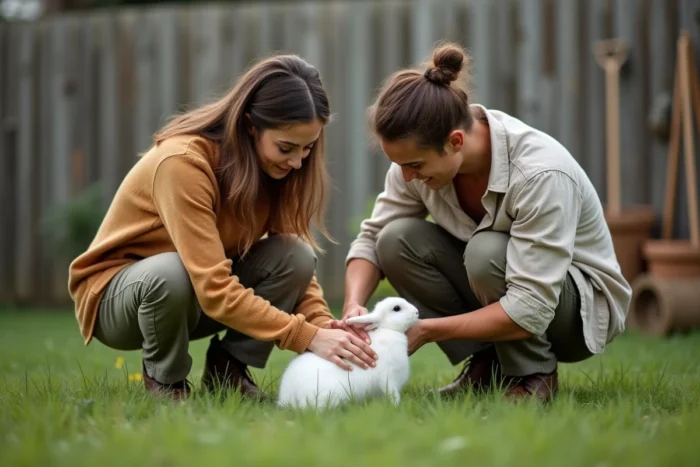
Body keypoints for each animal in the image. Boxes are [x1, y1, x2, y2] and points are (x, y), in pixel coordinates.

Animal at [276, 297, 420, 410]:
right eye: (397, 308)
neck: (388, 329)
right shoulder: (388, 377)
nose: (417, 312)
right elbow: (392, 393)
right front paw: (396, 406)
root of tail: (289, 396)